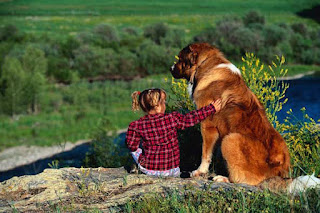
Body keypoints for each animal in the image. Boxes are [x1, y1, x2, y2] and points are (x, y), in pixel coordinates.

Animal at [171, 42, 292, 185]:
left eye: (179, 59)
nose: (171, 68)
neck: (205, 63)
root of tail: (279, 168)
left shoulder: (207, 126)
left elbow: (205, 153)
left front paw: (199, 171)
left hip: (230, 139)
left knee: (242, 179)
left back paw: (222, 178)